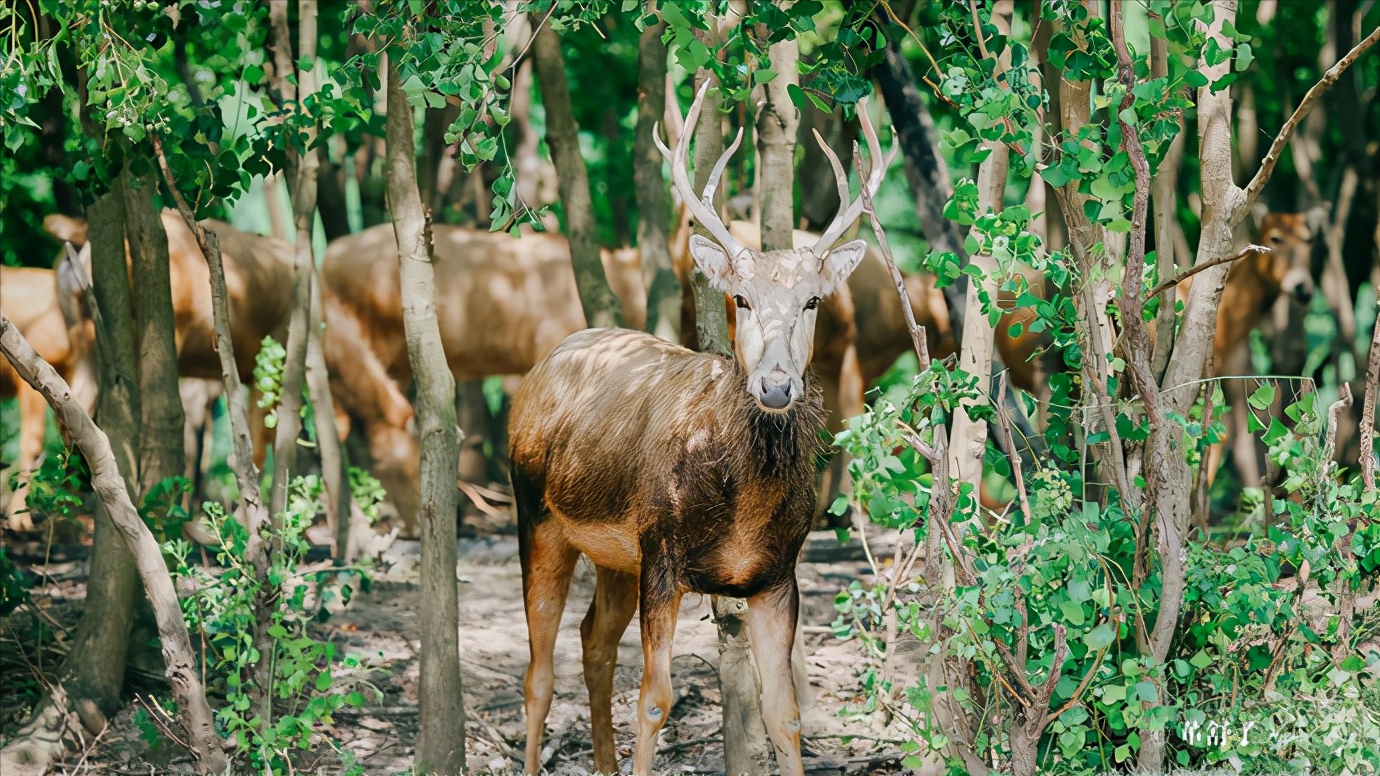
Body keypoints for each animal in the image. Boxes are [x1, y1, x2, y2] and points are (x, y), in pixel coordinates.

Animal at [513, 78, 888, 773]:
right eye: (740, 298)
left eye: (812, 301)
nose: (776, 385)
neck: (739, 508)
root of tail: (546, 361)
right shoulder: (662, 552)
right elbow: (654, 700)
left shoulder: (778, 574)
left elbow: (785, 714)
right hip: (537, 512)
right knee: (539, 673)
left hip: (615, 555)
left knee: (592, 640)